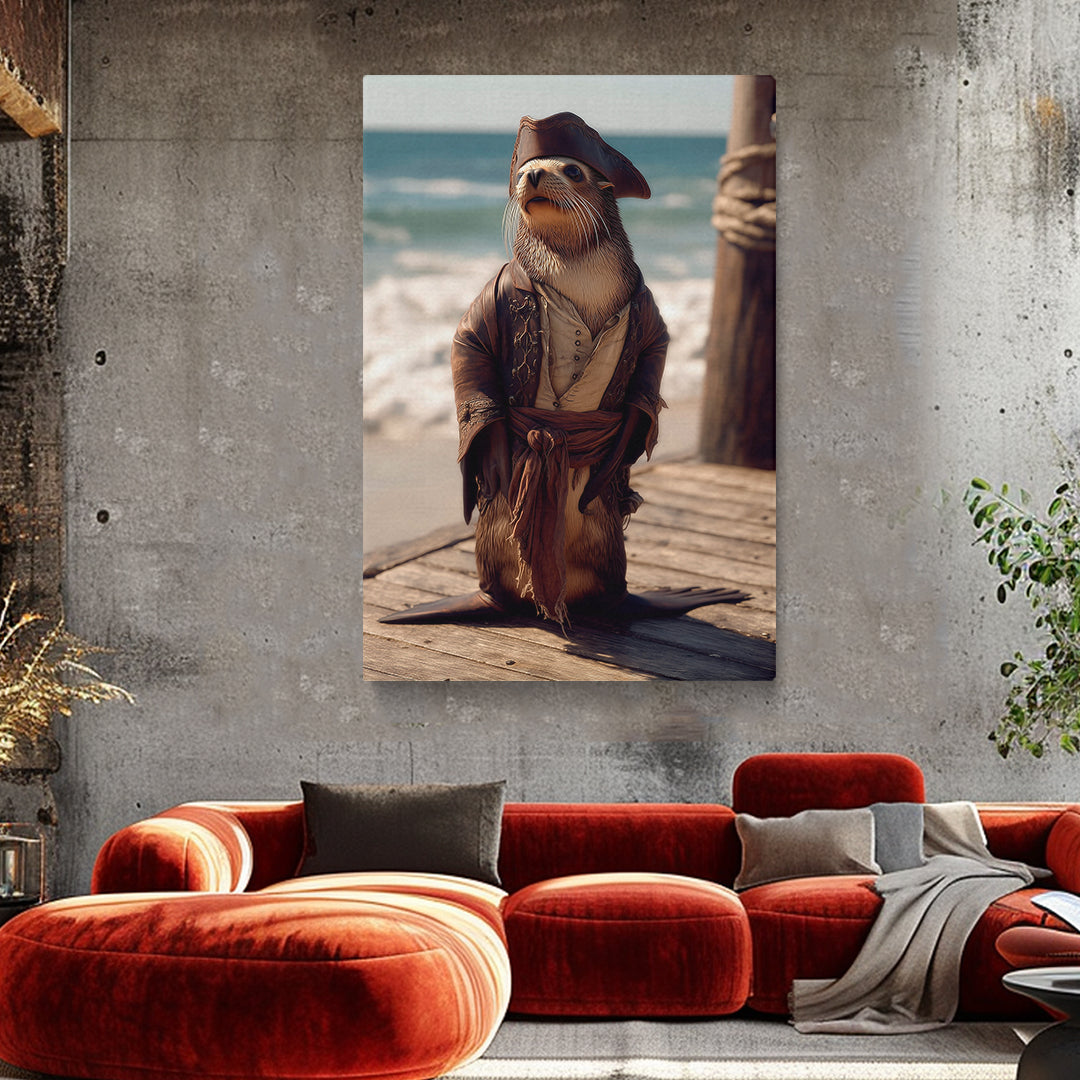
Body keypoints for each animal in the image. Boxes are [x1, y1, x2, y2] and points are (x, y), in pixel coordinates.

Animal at [380, 112, 747, 627]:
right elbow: (468, 351)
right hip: (492, 543)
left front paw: (619, 455)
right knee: (495, 588)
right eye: (521, 172)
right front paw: (494, 460)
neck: (578, 274)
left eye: (572, 170)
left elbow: (651, 369)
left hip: (610, 546)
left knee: (615, 592)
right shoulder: (488, 301)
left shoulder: (648, 310)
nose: (532, 175)